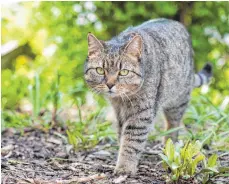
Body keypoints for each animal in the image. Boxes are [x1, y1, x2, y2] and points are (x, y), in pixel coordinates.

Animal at [83, 18, 212, 175]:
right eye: (100, 70)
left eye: (123, 72)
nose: (110, 84)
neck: (122, 100)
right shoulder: (119, 113)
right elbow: (122, 136)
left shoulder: (141, 114)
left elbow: (131, 142)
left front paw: (125, 166)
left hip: (177, 102)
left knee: (173, 127)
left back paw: (168, 148)